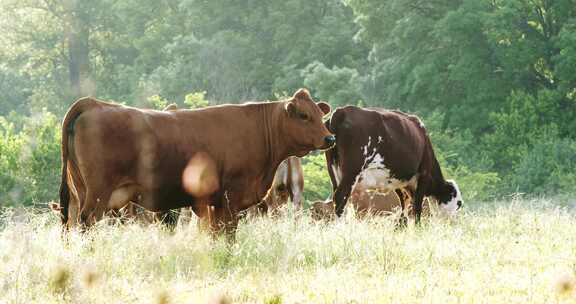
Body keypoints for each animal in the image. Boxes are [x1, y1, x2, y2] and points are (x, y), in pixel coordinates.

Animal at [57, 88, 332, 233]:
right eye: (304, 116)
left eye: (321, 115)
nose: (330, 138)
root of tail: (94, 104)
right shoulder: (230, 199)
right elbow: (227, 234)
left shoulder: (213, 203)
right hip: (98, 194)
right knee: (87, 221)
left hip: (80, 191)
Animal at [326, 106, 462, 223]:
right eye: (459, 204)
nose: (457, 222)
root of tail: (342, 111)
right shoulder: (424, 175)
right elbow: (417, 208)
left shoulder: (400, 182)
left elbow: (405, 207)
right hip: (352, 171)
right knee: (340, 198)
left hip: (334, 171)